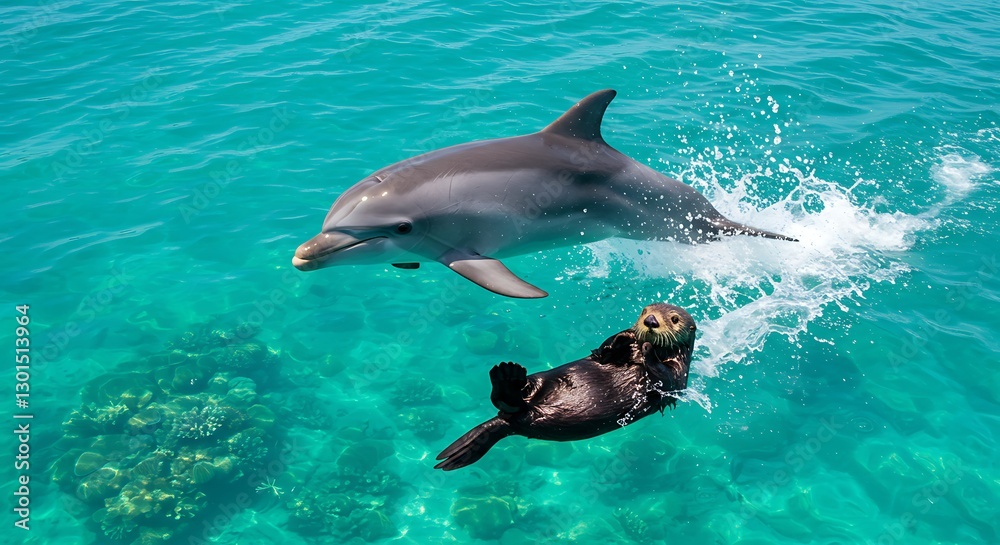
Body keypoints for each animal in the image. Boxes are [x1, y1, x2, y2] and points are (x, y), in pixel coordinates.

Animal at [434, 303, 696, 471]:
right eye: (645, 311)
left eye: (674, 319)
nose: (650, 321)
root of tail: (512, 421)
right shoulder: (607, 354)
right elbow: (602, 353)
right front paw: (624, 337)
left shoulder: (678, 376)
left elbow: (666, 378)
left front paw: (647, 348)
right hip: (540, 379)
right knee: (510, 399)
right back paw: (507, 374)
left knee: (509, 405)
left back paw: (507, 376)